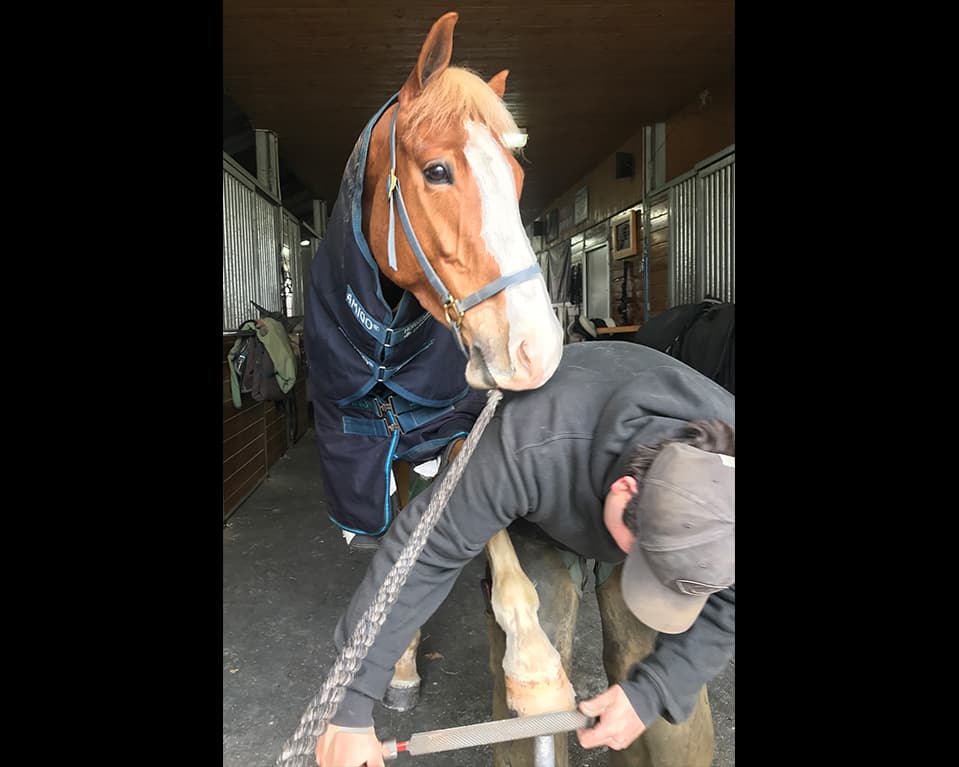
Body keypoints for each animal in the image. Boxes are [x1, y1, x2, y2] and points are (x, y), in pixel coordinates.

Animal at [303, 9, 576, 763]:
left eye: (516, 177)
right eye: (437, 171)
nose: (536, 350)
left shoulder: (456, 426)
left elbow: (502, 554)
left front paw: (536, 670)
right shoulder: (365, 448)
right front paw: (396, 666)